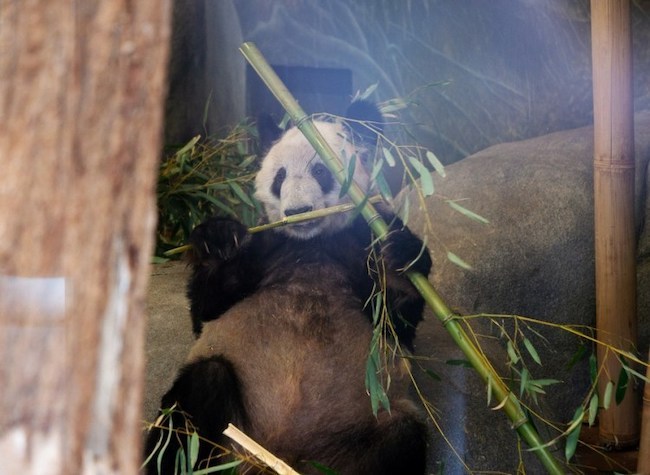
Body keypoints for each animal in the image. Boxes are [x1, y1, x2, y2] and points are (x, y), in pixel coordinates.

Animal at [145, 101, 432, 475]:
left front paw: (402, 257)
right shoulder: (267, 245)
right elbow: (208, 310)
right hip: (230, 432)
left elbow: (398, 320)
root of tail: (277, 455)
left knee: (401, 436)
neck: (311, 242)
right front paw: (218, 239)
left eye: (321, 172)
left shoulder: (360, 239)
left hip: (356, 436)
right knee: (194, 401)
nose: (298, 211)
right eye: (280, 177)